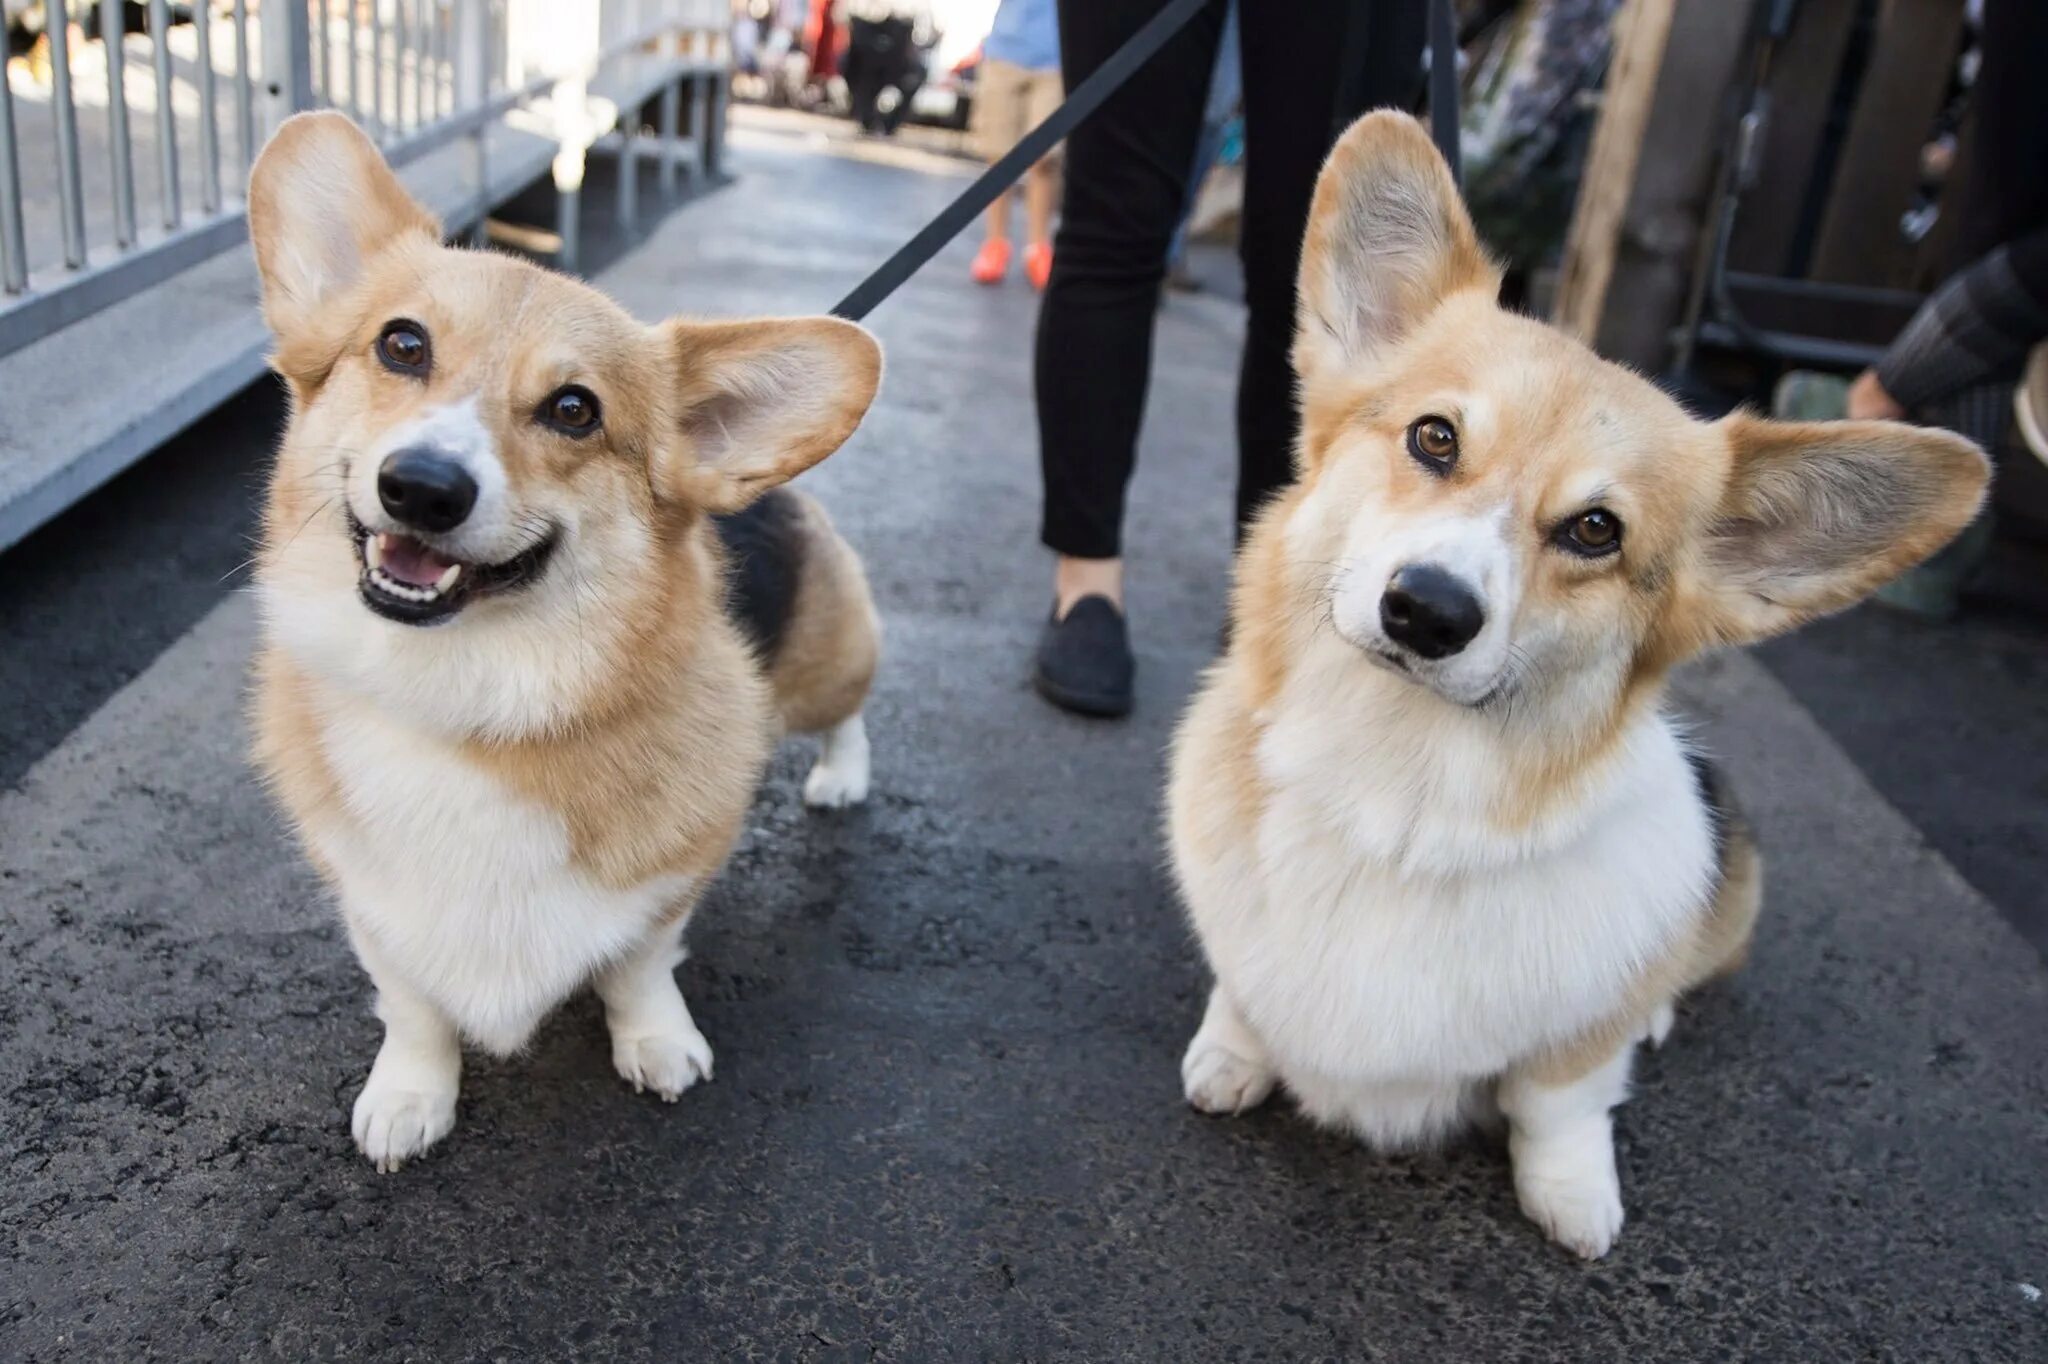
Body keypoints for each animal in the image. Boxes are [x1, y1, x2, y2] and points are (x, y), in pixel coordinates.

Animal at [245, 111, 880, 1163]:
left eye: (575, 409)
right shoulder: (371, 903)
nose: (422, 488)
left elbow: (640, 966)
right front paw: (410, 1097)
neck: (464, 697)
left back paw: (842, 776)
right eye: (402, 344)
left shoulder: (673, 878)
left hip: (828, 662)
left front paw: (658, 1045)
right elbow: (413, 1004)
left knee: (850, 709)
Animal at [1171, 114, 1982, 1253]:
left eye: (1595, 530)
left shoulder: (1571, 1046)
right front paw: (1231, 1056)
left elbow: (1558, 1098)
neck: (1392, 788)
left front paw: (1570, 1196)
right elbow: (1245, 987)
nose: (1426, 610)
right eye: (1434, 437)